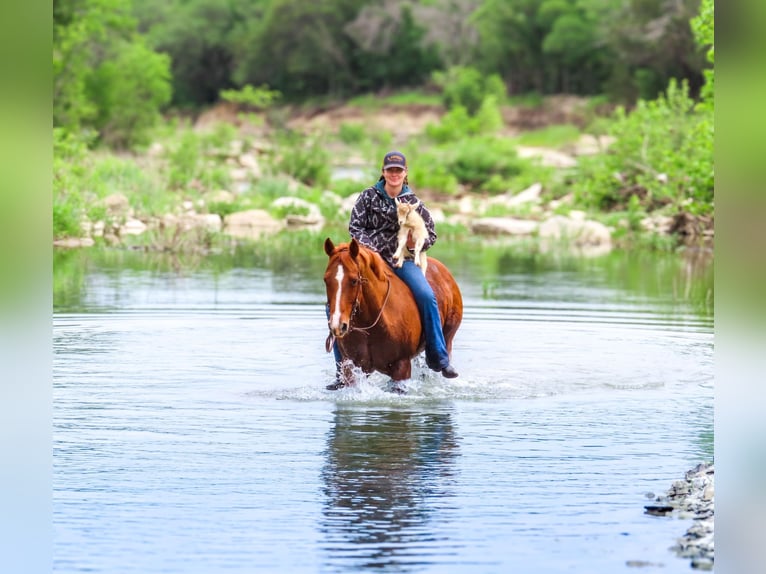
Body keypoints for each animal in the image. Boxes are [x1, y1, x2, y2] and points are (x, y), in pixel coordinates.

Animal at [322, 238, 464, 388]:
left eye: (354, 280)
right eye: (326, 280)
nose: (337, 325)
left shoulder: (401, 366)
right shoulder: (350, 367)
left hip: (448, 337)